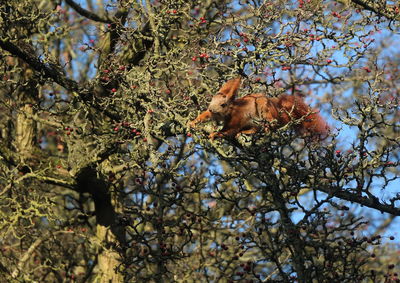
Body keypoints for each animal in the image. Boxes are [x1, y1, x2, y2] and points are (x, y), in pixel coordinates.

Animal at [189, 77, 330, 140]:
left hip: (264, 110)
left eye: (223, 104)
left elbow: (229, 130)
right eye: (211, 102)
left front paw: (215, 134)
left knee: (268, 125)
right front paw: (193, 122)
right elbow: (205, 116)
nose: (212, 109)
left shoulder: (236, 118)